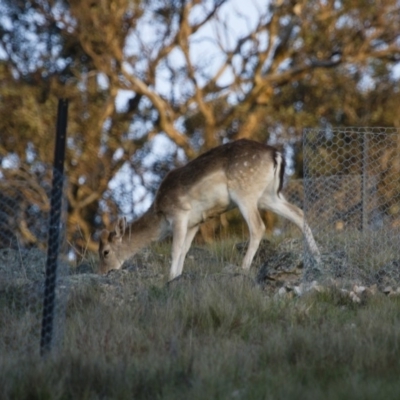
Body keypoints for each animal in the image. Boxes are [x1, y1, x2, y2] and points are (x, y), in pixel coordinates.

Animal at [98, 139, 320, 280]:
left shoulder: (179, 214)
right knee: (298, 213)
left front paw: (169, 277)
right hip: (269, 196)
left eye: (105, 252)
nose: (105, 272)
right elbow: (184, 250)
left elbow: (175, 249)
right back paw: (317, 256)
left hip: (245, 192)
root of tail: (276, 155)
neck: (160, 216)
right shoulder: (195, 222)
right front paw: (177, 276)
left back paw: (243, 267)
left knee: (258, 227)